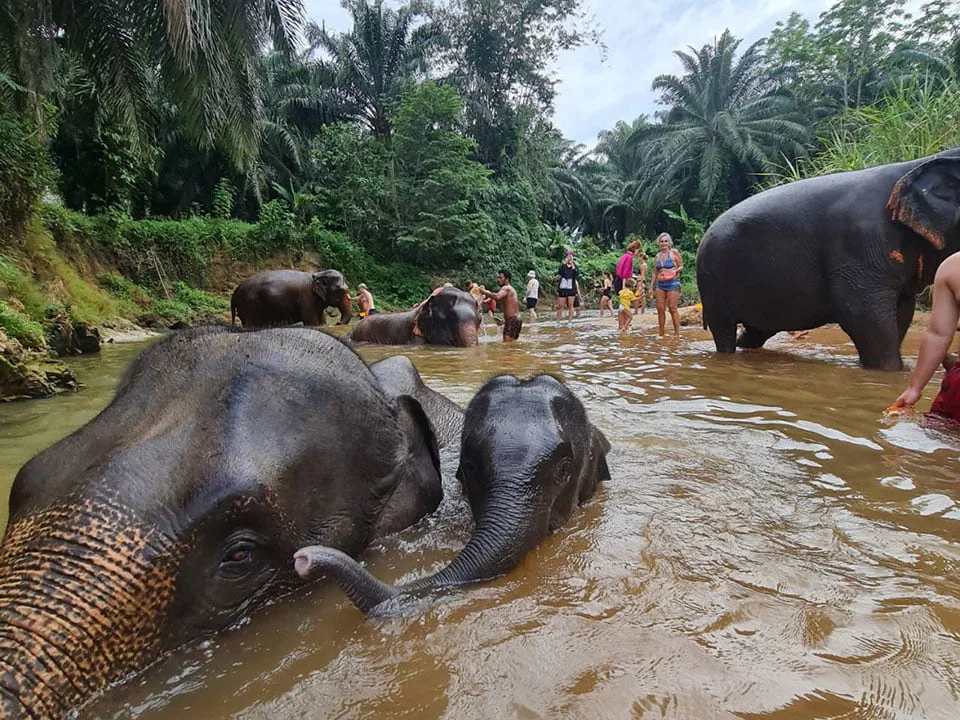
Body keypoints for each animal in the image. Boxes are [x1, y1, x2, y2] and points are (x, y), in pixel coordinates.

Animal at [696, 148, 960, 370]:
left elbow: (902, 313)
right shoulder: (858, 248)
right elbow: (862, 314)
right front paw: (893, 373)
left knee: (757, 330)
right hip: (714, 282)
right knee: (724, 330)